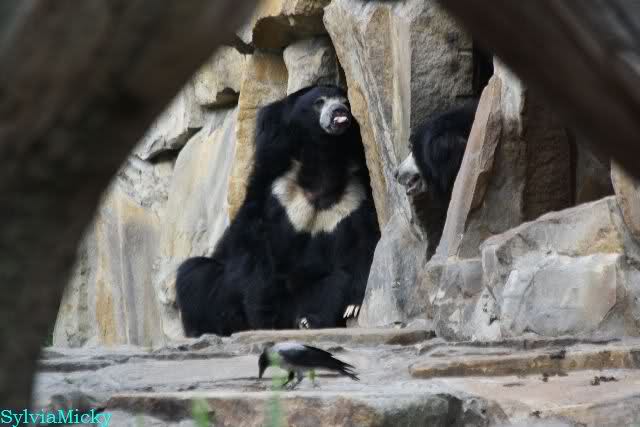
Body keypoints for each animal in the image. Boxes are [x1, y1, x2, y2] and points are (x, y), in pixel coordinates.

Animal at [175, 85, 380, 337]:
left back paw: (307, 321)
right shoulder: (275, 190)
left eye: (345, 101)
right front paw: (263, 317)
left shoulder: (353, 198)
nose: (340, 112)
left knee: (336, 280)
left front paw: (354, 305)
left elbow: (365, 241)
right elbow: (255, 247)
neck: (323, 160)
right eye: (319, 102)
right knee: (195, 274)